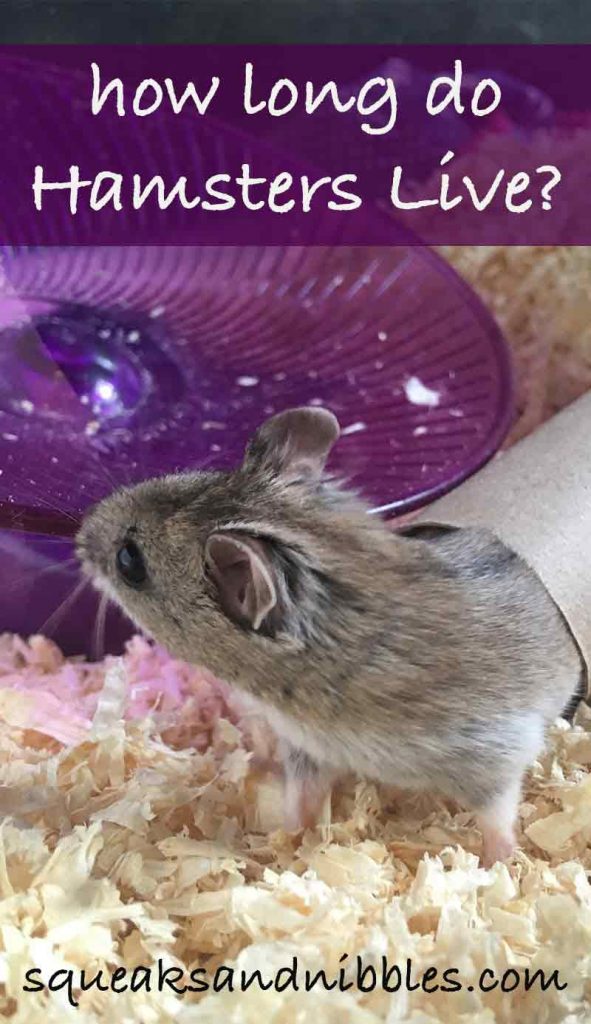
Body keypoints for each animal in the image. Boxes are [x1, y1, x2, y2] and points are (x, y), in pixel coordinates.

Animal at [76, 407, 582, 866]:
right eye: (180, 475)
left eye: (130, 560)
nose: (80, 533)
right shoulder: (307, 749)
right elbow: (302, 796)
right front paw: (283, 843)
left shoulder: (492, 751)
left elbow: (497, 812)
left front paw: (497, 864)